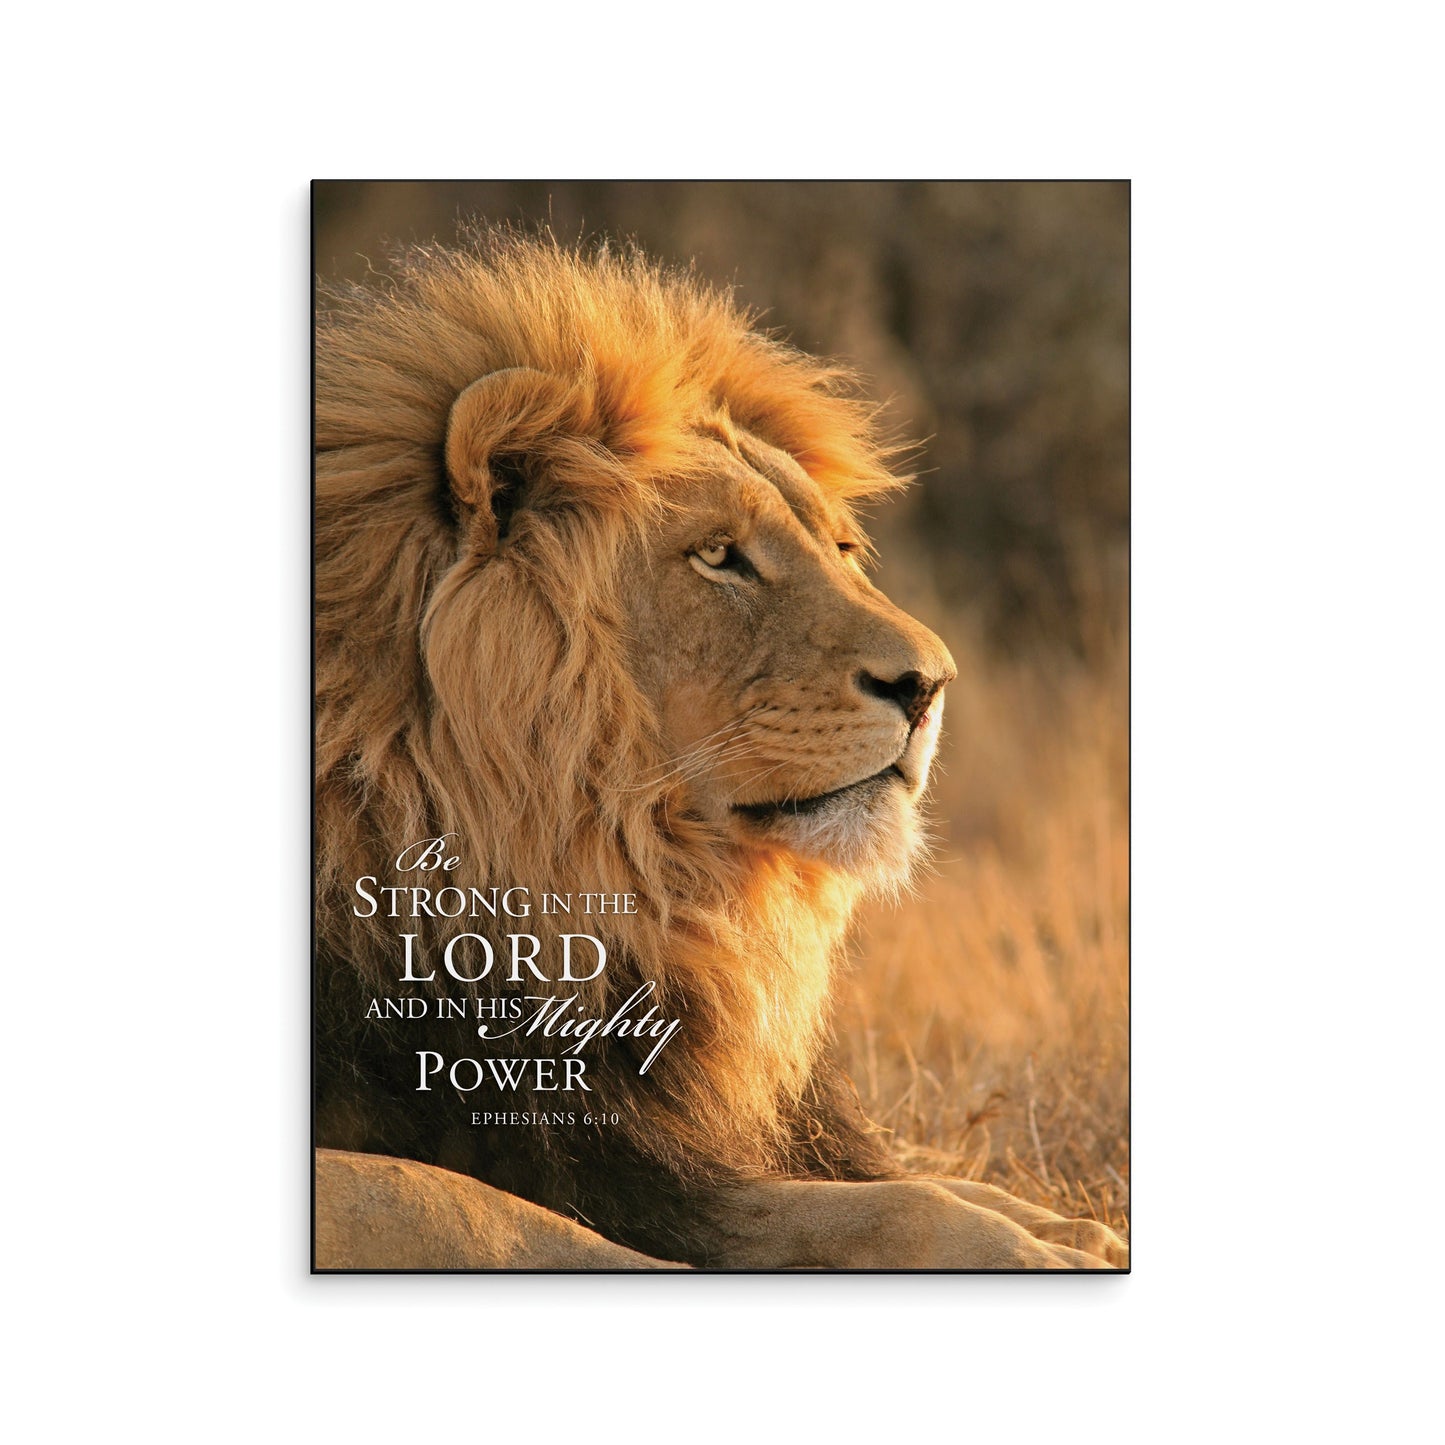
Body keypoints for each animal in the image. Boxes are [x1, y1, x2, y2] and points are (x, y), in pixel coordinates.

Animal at [314, 229, 1127, 1270]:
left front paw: (1056, 1221)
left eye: (841, 548)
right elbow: (480, 1208)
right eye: (717, 556)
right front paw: (1038, 1247)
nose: (931, 684)